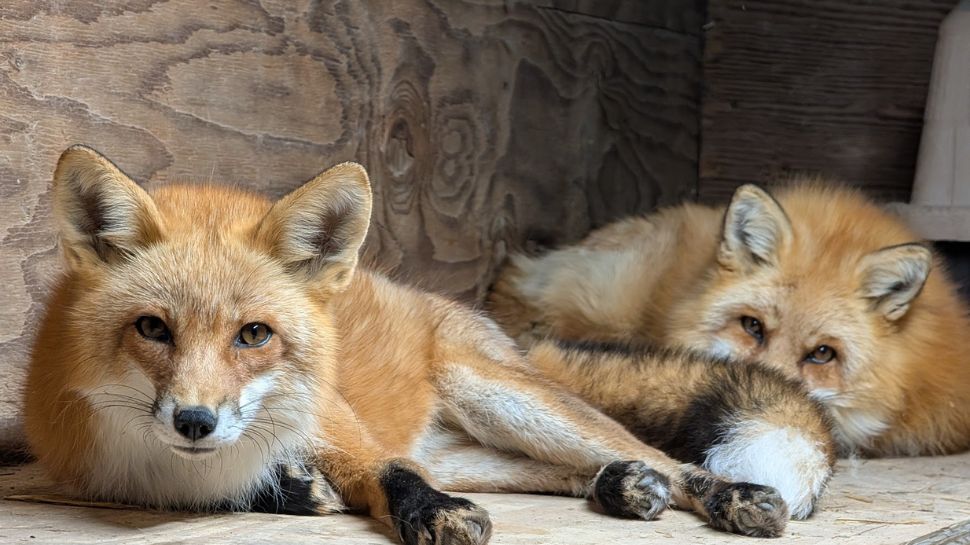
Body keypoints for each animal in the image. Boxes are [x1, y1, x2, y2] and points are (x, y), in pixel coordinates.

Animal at [24, 145, 793, 545]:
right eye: (153, 328)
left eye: (254, 334)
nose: (194, 421)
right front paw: (292, 488)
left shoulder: (333, 419)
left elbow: (389, 470)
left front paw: (428, 512)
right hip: (478, 448)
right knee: (565, 468)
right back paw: (621, 485)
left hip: (501, 398)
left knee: (656, 454)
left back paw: (723, 492)